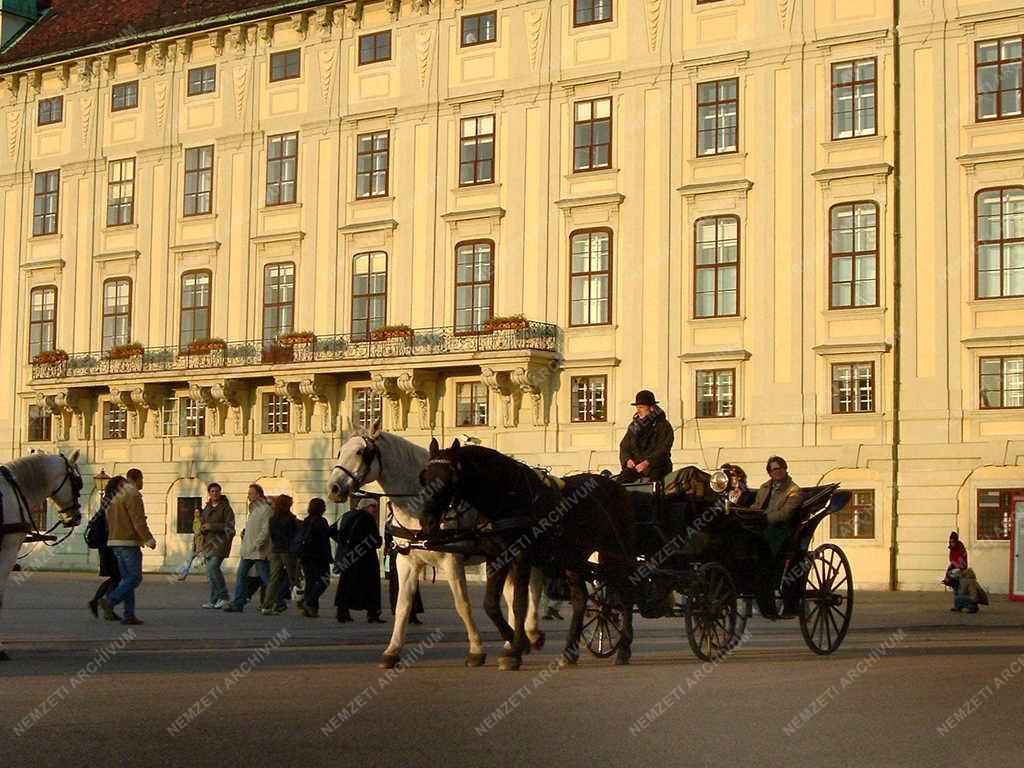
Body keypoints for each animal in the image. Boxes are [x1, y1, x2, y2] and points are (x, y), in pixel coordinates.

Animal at [327, 428, 544, 667]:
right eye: (340, 451)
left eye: (360, 452)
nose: (333, 488)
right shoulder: (406, 562)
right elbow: (403, 606)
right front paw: (392, 651)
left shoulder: (452, 561)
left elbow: (463, 605)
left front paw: (476, 650)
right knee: (514, 593)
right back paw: (514, 643)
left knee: (532, 589)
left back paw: (527, 636)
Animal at [417, 442, 630, 671]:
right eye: (425, 477)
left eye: (451, 479)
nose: (427, 522)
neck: (507, 498)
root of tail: (616, 486)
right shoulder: (496, 557)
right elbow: (490, 604)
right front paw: (516, 641)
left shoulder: (520, 557)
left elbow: (519, 602)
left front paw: (516, 649)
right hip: (573, 559)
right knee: (581, 598)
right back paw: (569, 650)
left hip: (615, 554)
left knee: (627, 595)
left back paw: (624, 648)